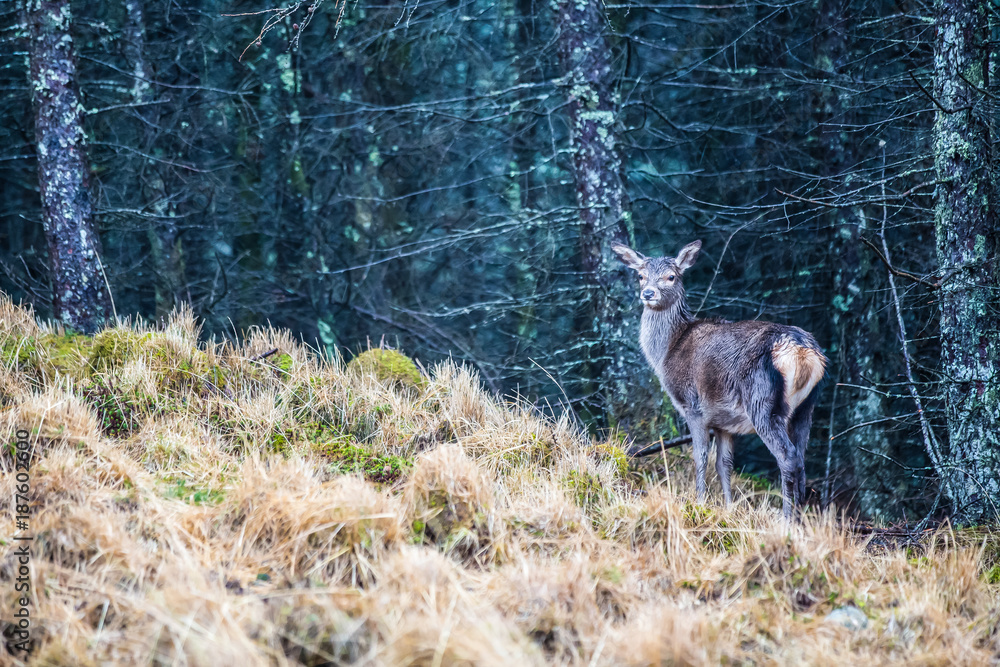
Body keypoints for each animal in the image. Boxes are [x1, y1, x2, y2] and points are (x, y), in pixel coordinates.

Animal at [612, 240, 827, 519]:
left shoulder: (692, 405)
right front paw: (728, 507)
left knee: (788, 457)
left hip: (762, 400)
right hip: (806, 407)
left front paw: (699, 502)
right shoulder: (724, 421)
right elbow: (724, 463)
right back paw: (799, 517)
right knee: (801, 457)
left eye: (671, 277)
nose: (648, 293)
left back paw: (786, 519)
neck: (667, 352)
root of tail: (803, 351)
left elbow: (700, 456)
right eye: (640, 275)